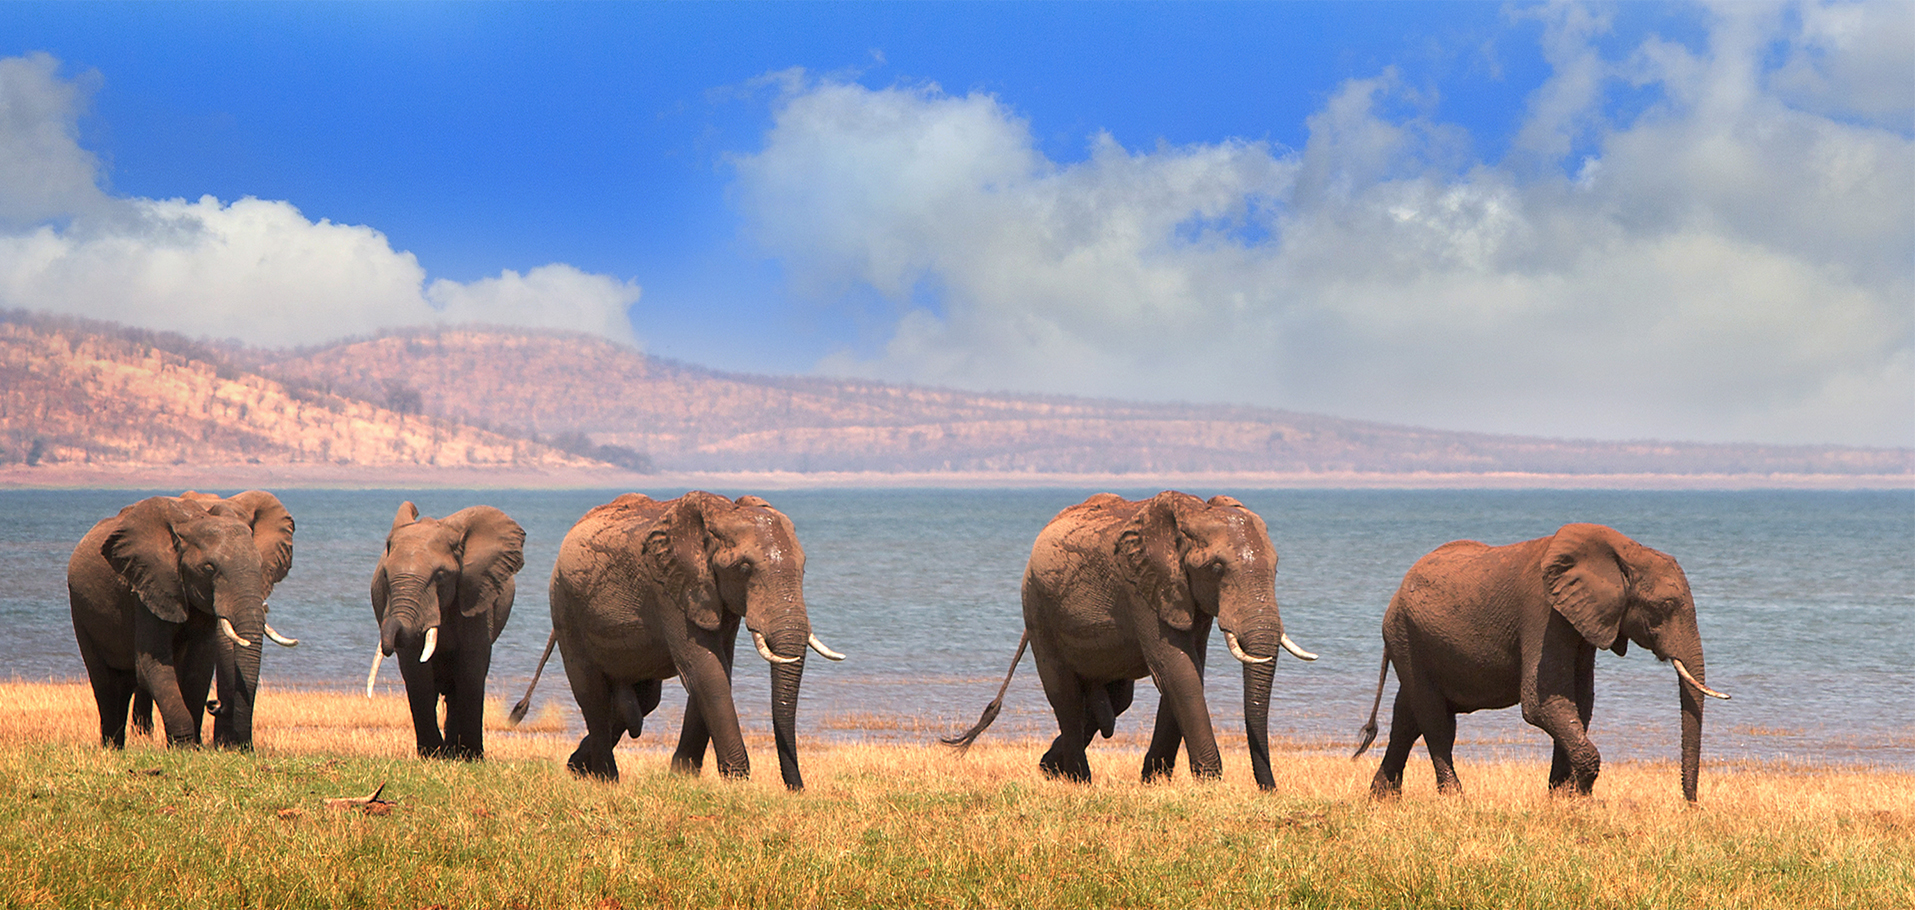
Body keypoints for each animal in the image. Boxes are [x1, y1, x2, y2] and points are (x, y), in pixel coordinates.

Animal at [68, 490, 297, 750]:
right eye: (209, 568)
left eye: (260, 564)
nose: (215, 704)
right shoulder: (148, 585)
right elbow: (151, 664)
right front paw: (184, 748)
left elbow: (199, 666)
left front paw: (194, 748)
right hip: (80, 610)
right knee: (105, 683)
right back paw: (112, 748)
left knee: (123, 684)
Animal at [366, 502, 525, 760]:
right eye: (385, 575)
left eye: (440, 576)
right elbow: (416, 671)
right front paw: (431, 755)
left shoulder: (475, 594)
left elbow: (471, 667)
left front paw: (472, 757)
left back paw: (455, 752)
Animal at [524, 492, 844, 789]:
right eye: (743, 569)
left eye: (803, 568)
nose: (797, 790)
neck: (720, 514)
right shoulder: (668, 588)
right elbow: (705, 670)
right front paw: (737, 783)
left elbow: (719, 669)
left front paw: (683, 777)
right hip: (565, 608)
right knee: (592, 695)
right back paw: (606, 779)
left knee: (644, 701)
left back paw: (576, 768)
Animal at [946, 492, 1318, 789]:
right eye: (1215, 569)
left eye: (1276, 568)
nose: (1269, 789)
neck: (1192, 512)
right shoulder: (1140, 587)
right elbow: (1176, 669)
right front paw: (1210, 783)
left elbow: (1190, 669)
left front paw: (1155, 781)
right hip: (1038, 611)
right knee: (1065, 695)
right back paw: (1078, 779)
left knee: (1115, 700)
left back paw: (1050, 768)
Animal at [1354, 523, 1731, 802]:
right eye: (1664, 606)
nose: (1690, 804)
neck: (1623, 551)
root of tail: (1397, 592)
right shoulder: (1543, 612)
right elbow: (1543, 702)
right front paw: (1580, 797)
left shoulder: (1582, 620)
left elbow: (1579, 703)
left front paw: (1563, 799)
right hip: (1406, 635)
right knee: (1435, 720)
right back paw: (1454, 800)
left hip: (1412, 640)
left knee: (1407, 716)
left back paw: (1381, 800)